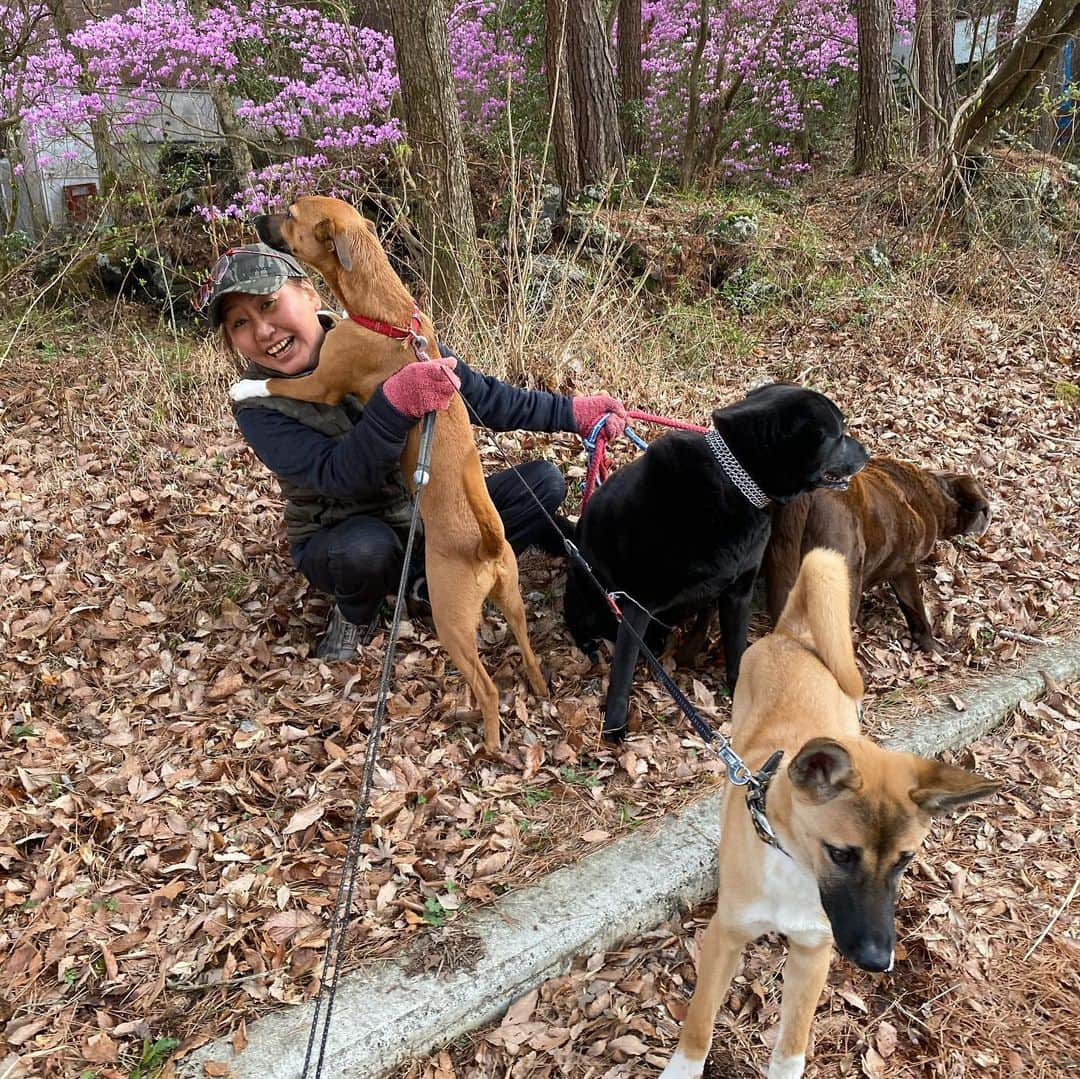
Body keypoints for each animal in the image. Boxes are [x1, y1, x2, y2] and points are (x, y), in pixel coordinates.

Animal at [227, 196, 548, 751]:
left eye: (291, 213)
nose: (256, 220)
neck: (386, 314)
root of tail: (485, 548)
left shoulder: (321, 383)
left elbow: (273, 383)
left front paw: (242, 389)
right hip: (512, 600)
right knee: (528, 654)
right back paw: (539, 689)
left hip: (452, 622)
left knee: (487, 687)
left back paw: (488, 739)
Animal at [565, 382, 868, 743]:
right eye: (840, 434)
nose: (867, 452)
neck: (735, 482)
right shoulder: (636, 604)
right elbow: (622, 673)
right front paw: (614, 725)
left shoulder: (738, 592)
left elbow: (736, 645)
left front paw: (740, 690)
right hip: (586, 588)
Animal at [656, 553, 1002, 1075]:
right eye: (840, 854)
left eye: (905, 860)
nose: (878, 960)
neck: (792, 862)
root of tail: (793, 635)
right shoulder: (724, 937)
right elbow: (698, 1023)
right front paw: (685, 1065)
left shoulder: (813, 952)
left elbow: (791, 1047)